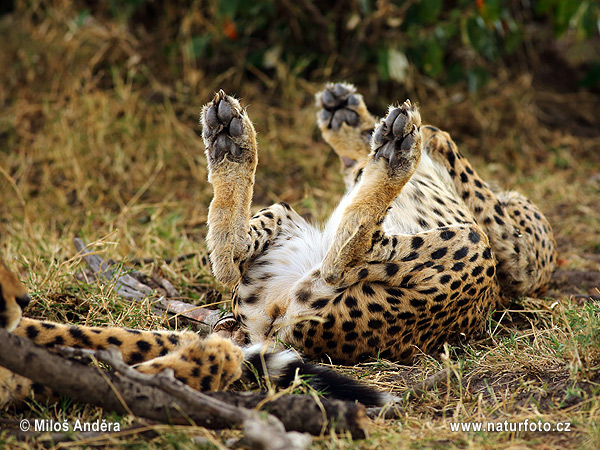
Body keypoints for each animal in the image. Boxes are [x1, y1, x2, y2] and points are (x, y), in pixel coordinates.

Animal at [203, 84, 556, 364]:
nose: (339, 106)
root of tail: (275, 329)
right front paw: (354, 120)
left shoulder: (525, 259)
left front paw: (359, 124)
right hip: (472, 244)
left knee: (309, 262)